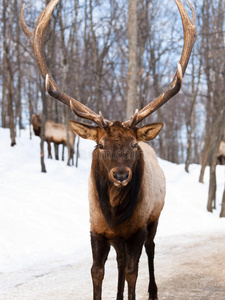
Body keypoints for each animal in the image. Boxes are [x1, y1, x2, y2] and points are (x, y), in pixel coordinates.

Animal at [20, 1, 197, 298]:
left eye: (133, 144)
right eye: (100, 144)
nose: (121, 175)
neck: (115, 214)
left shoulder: (137, 229)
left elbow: (133, 273)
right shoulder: (97, 230)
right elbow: (97, 272)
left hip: (154, 218)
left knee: (149, 251)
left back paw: (153, 290)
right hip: (118, 239)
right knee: (120, 261)